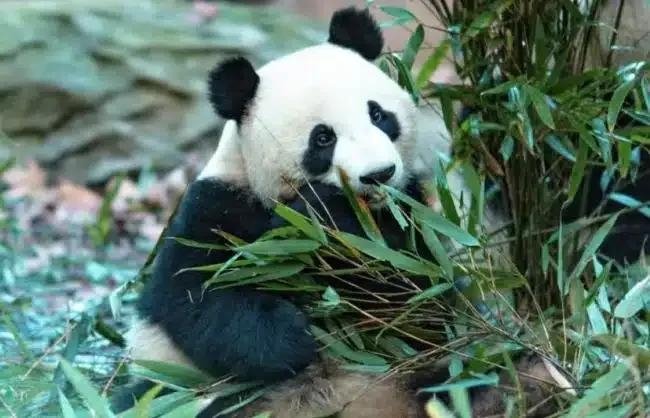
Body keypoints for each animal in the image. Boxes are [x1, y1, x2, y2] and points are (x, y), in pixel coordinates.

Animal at [115, 7, 560, 418]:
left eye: (379, 114)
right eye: (322, 138)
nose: (379, 174)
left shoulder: (413, 212)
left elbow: (415, 295)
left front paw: (328, 219)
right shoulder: (219, 205)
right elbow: (200, 295)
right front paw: (293, 337)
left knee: (476, 377)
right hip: (188, 394)